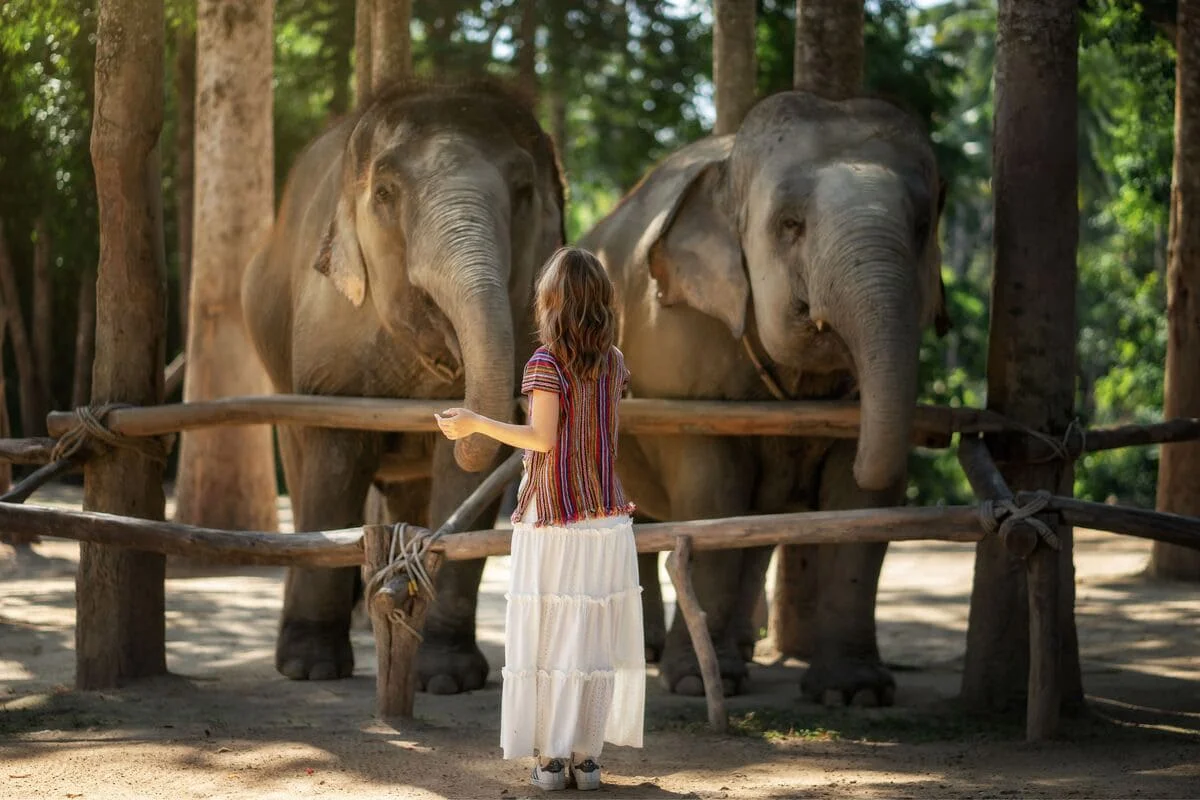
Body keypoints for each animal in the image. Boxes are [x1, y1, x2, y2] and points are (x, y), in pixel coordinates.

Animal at [241, 78, 565, 690]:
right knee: (300, 458)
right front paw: (311, 668)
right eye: (387, 192)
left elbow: (468, 473)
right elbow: (333, 462)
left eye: (522, 190)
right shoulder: (329, 347)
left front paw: (447, 677)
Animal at [579, 90, 948, 704]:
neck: (728, 174)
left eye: (923, 226)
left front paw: (854, 693)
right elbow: (713, 496)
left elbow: (863, 507)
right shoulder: (681, 349)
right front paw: (692, 683)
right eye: (790, 225)